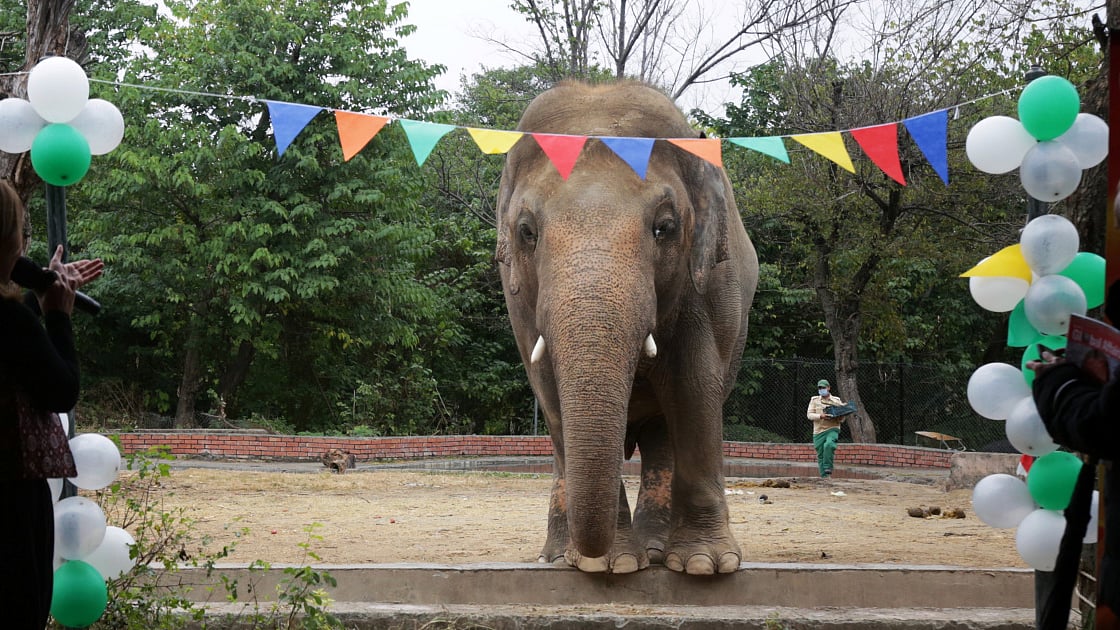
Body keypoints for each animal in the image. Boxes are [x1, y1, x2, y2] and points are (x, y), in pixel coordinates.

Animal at [495, 81, 759, 575]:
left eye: (665, 227)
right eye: (526, 232)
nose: (594, 555)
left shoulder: (711, 281)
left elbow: (694, 384)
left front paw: (704, 565)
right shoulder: (517, 298)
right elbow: (549, 392)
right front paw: (607, 566)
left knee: (662, 436)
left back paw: (657, 551)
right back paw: (558, 556)